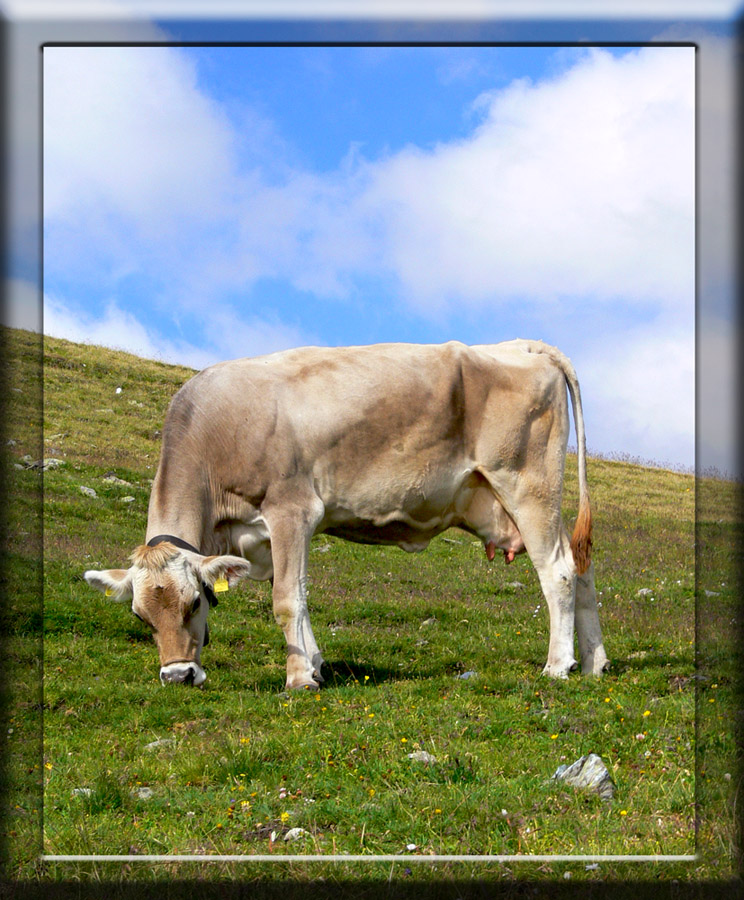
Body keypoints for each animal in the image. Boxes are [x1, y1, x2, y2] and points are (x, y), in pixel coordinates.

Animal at [84, 339, 609, 689]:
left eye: (194, 603)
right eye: (141, 616)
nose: (178, 675)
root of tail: (525, 346)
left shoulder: (292, 510)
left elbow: (286, 599)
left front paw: (299, 678)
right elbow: (298, 596)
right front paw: (315, 665)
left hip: (527, 485)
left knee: (558, 572)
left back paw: (558, 666)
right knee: (581, 568)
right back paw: (595, 662)